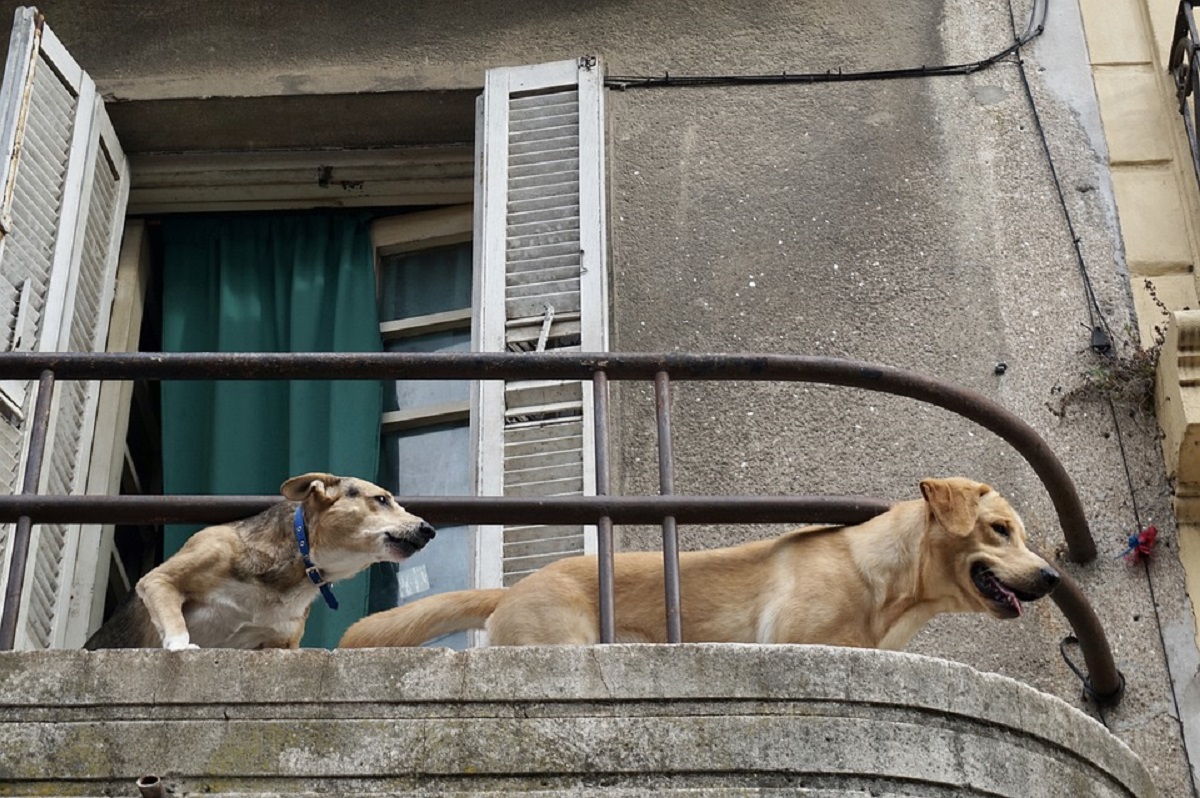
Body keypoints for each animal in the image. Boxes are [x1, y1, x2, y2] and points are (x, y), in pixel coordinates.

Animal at [87, 472, 436, 648]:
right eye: (382, 499)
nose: (429, 530)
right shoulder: (160, 579)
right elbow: (176, 622)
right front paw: (181, 645)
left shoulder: (283, 644)